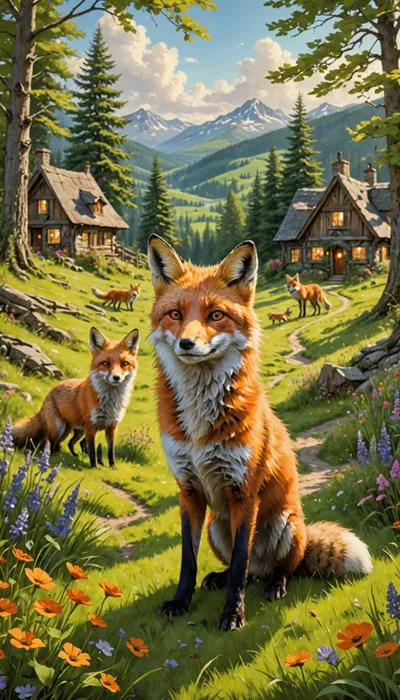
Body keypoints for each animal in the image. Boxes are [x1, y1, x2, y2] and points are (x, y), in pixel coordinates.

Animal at [12, 327, 139, 469]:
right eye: (106, 363)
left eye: (124, 363)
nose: (116, 378)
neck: (110, 402)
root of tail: (51, 391)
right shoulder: (90, 426)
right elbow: (92, 449)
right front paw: (93, 467)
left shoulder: (112, 426)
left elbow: (111, 450)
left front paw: (112, 466)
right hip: (59, 428)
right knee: (49, 442)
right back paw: (52, 456)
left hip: (75, 431)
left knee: (70, 443)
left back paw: (71, 455)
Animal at [148, 234, 372, 632]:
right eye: (175, 315)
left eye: (215, 315)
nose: (186, 344)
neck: (200, 422)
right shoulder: (188, 490)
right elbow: (189, 561)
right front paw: (180, 602)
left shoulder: (244, 491)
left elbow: (240, 561)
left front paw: (233, 614)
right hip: (215, 526)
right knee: (249, 569)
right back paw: (220, 579)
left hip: (285, 524)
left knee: (274, 568)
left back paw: (274, 585)